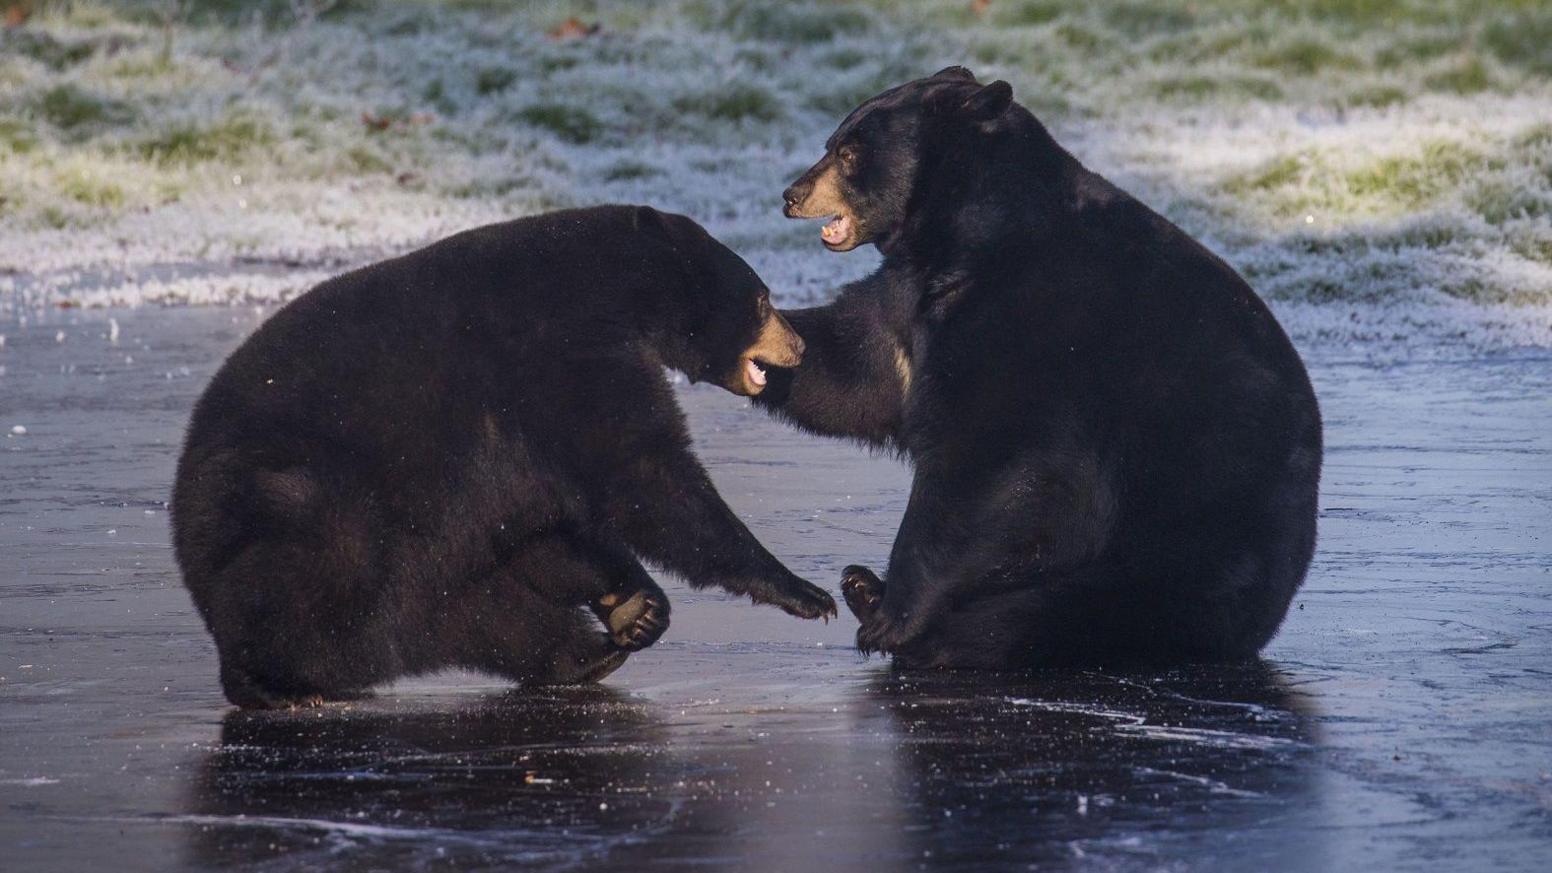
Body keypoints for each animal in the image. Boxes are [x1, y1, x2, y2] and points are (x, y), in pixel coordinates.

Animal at [173, 205, 838, 708]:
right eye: (763, 299)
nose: (801, 346)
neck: (614, 285)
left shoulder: (520, 431)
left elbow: (542, 518)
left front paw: (636, 603)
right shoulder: (567, 354)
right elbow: (645, 475)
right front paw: (804, 591)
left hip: (413, 557)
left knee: (471, 609)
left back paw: (587, 655)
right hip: (305, 500)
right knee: (329, 572)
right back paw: (270, 681)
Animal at [760, 67, 1322, 664]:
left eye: (849, 153)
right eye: (833, 142)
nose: (791, 195)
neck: (976, 230)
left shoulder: (1029, 321)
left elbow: (990, 459)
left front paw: (897, 617)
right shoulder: (912, 298)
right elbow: (856, 369)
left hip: (1190, 528)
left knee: (1053, 612)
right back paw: (863, 586)